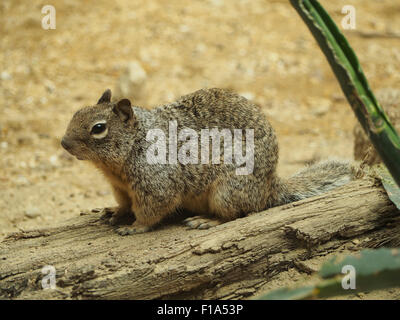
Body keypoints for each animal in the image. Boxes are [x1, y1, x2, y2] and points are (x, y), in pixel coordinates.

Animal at [62, 87, 356, 235]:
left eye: (98, 128)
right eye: (76, 112)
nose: (63, 143)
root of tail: (270, 186)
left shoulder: (156, 184)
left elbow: (153, 209)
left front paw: (135, 227)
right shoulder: (120, 187)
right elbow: (125, 203)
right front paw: (116, 211)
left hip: (226, 191)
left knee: (237, 214)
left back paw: (207, 221)